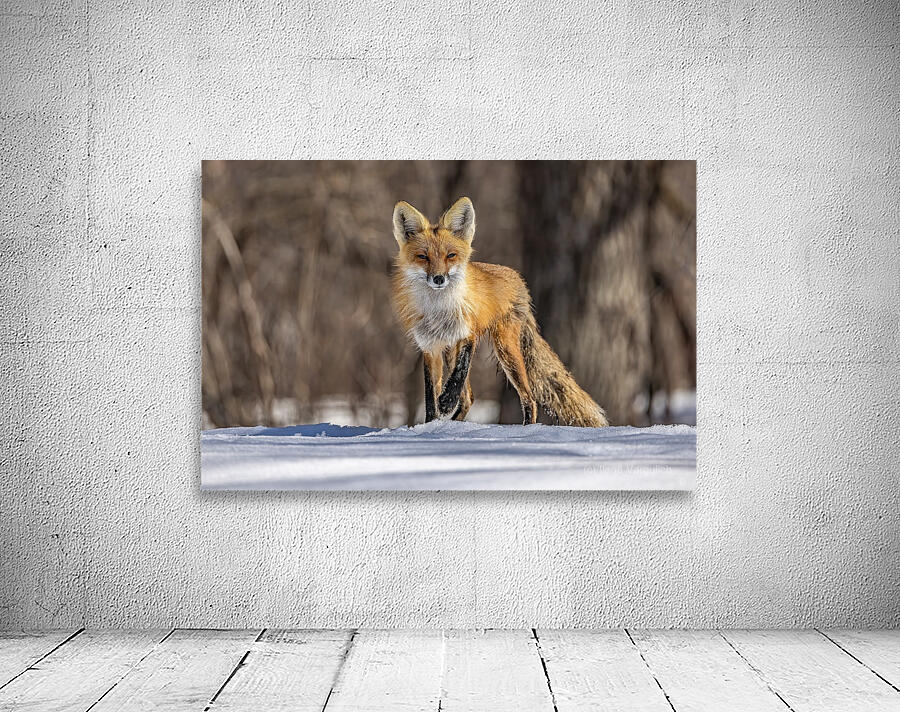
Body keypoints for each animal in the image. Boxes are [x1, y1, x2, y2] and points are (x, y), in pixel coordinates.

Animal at [391, 196, 609, 427]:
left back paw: (527, 429)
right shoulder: (429, 347)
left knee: (529, 398)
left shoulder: (468, 334)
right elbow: (430, 396)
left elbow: (459, 373)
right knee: (469, 398)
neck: (440, 309)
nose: (439, 279)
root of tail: (517, 279)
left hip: (506, 350)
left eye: (450, 256)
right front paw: (430, 425)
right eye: (423, 257)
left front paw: (447, 401)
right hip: (453, 351)